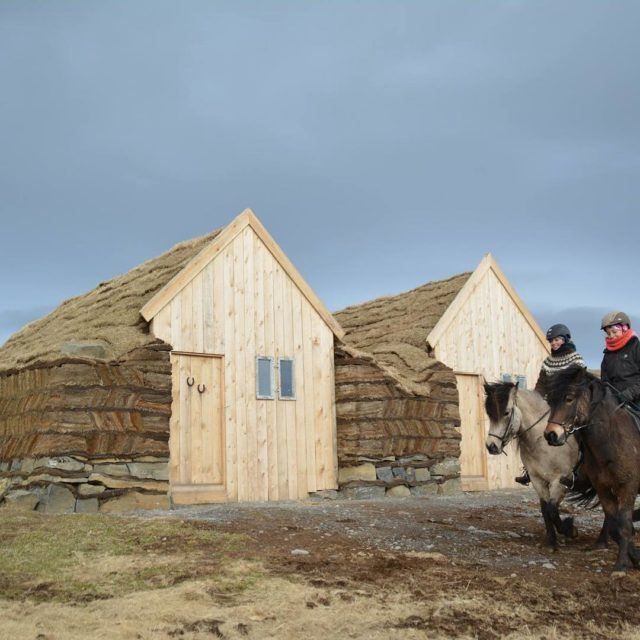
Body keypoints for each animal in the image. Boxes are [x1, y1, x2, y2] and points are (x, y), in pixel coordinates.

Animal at [484, 380, 580, 552]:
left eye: (506, 413)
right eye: (489, 414)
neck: (542, 440)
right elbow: (545, 510)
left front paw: (570, 530)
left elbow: (552, 510)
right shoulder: (538, 480)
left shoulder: (560, 481)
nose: (491, 446)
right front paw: (552, 541)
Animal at [544, 364, 640, 576]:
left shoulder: (628, 488)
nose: (551, 435)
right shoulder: (603, 489)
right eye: (550, 400)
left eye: (569, 398)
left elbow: (624, 525)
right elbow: (616, 525)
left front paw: (621, 566)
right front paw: (633, 558)